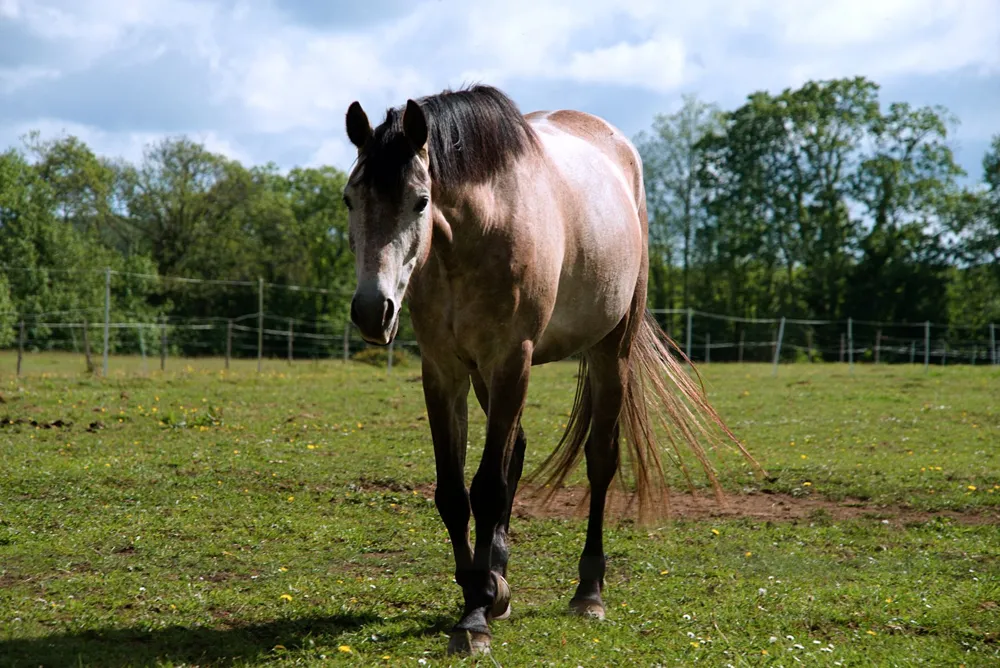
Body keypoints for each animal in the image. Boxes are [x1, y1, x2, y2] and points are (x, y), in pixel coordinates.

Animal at [342, 84, 761, 656]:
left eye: (420, 201)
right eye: (350, 199)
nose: (371, 310)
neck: (476, 233)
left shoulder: (512, 358)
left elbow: (487, 488)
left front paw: (474, 618)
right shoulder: (444, 369)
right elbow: (453, 492)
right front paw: (480, 589)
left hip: (610, 349)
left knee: (599, 461)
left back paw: (589, 591)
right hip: (487, 374)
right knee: (515, 454)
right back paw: (498, 577)